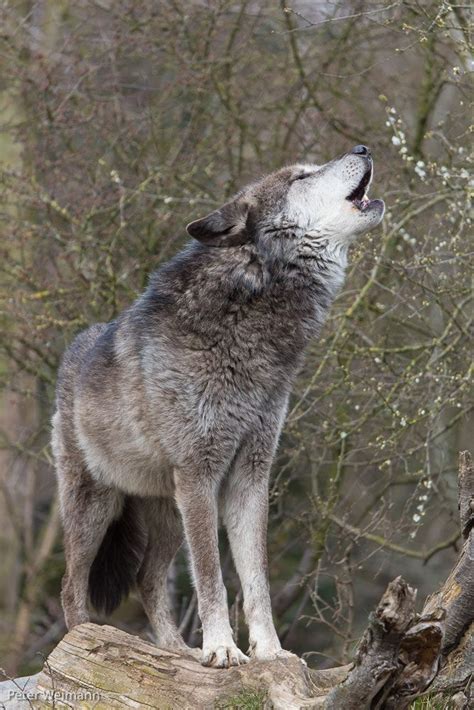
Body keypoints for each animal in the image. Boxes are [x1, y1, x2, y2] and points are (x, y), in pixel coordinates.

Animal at [51, 147, 386, 672]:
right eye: (301, 178)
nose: (363, 149)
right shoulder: (200, 474)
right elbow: (211, 574)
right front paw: (223, 648)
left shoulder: (250, 475)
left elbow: (256, 578)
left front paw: (269, 652)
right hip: (97, 508)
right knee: (71, 584)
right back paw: (84, 644)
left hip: (168, 514)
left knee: (147, 579)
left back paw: (173, 654)